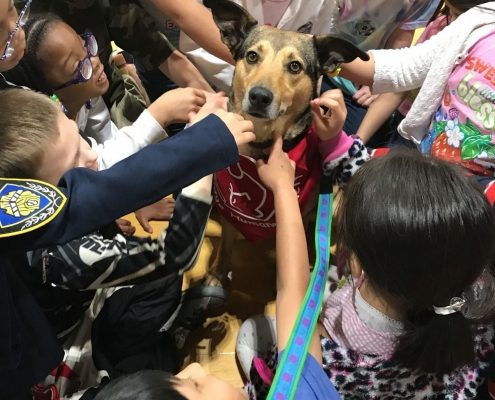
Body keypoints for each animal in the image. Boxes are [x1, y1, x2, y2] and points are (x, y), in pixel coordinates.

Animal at [202, 0, 368, 282]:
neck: (261, 145)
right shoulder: (230, 212)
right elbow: (226, 244)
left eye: (294, 66)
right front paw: (217, 274)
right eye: (252, 56)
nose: (259, 96)